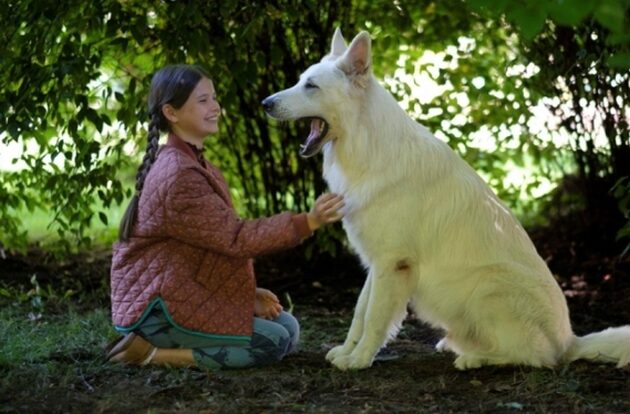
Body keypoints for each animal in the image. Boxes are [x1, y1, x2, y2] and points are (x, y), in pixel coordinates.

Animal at [262, 29, 630, 372]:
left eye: (311, 86)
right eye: (300, 80)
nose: (265, 104)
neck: (369, 147)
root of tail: (570, 341)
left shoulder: (393, 264)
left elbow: (375, 319)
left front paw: (359, 359)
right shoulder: (376, 265)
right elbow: (360, 313)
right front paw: (347, 351)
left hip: (487, 286)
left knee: (534, 357)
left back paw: (475, 358)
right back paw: (456, 345)